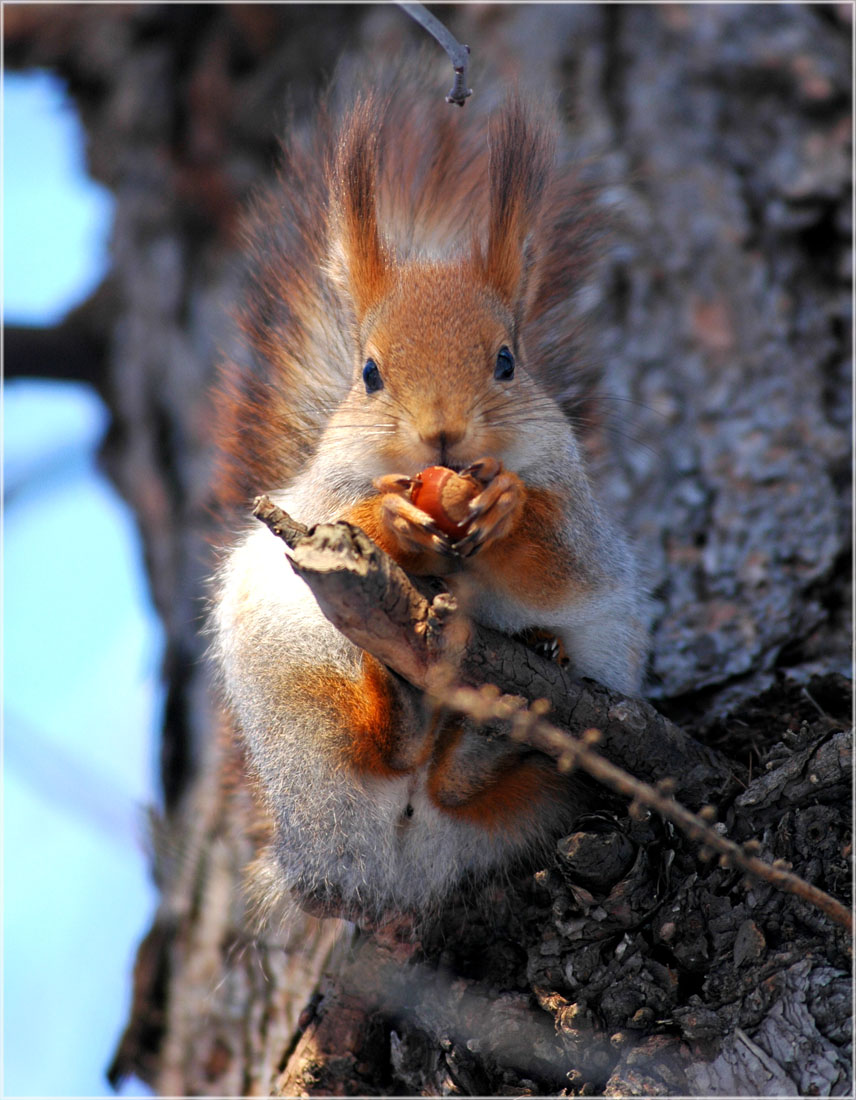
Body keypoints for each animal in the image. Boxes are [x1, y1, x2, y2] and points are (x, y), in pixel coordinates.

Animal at [207, 68, 646, 924]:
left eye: (508, 360)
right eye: (369, 372)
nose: (442, 435)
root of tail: (396, 866)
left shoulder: (579, 514)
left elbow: (562, 562)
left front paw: (508, 507)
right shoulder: (319, 496)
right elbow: (338, 516)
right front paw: (393, 516)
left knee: (459, 785)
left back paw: (494, 733)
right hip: (293, 695)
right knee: (371, 742)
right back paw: (407, 708)